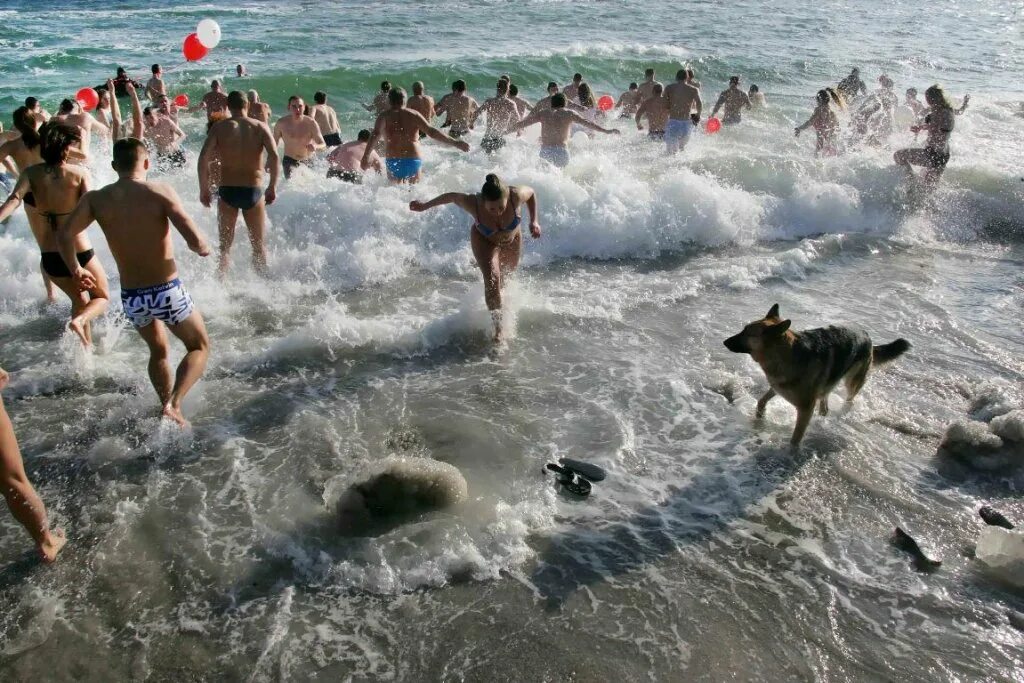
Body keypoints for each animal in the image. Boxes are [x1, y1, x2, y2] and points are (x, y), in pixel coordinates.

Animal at [724, 305, 909, 448]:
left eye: (747, 333)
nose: (724, 342)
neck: (786, 354)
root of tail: (867, 335)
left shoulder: (805, 409)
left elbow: (795, 438)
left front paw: (790, 453)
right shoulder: (778, 387)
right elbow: (761, 401)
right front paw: (760, 417)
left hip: (852, 383)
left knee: (848, 398)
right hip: (828, 384)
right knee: (824, 404)